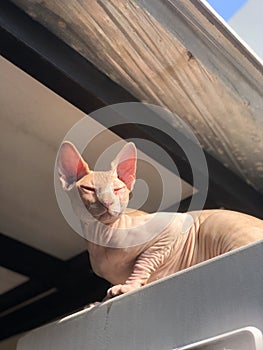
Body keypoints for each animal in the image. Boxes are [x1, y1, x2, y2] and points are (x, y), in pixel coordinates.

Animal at [57, 142, 263, 300]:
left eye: (117, 189)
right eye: (89, 189)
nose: (107, 202)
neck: (101, 237)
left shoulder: (172, 226)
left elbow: (144, 261)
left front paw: (128, 286)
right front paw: (99, 301)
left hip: (218, 223)